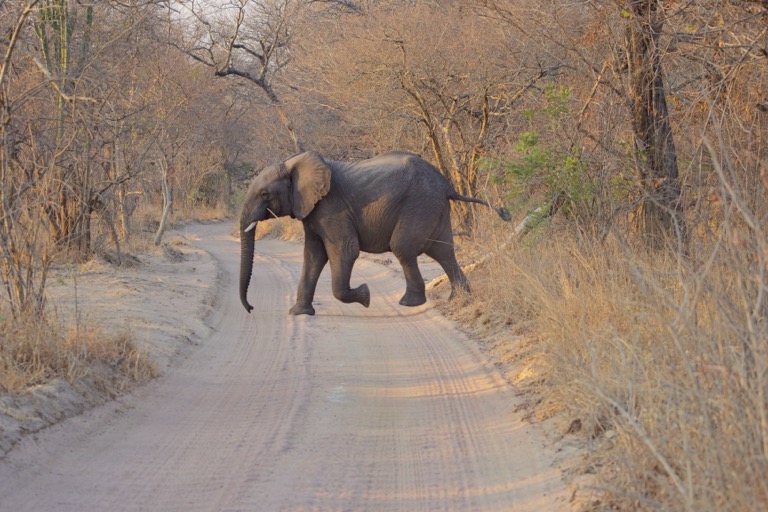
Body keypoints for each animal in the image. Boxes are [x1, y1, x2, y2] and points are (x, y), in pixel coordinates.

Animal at [239, 150, 510, 315]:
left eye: (265, 194)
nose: (251, 308)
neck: (294, 164)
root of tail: (447, 185)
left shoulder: (332, 208)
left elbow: (344, 250)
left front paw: (366, 296)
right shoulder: (312, 211)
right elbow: (314, 256)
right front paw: (299, 314)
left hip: (419, 204)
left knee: (404, 246)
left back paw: (409, 303)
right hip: (434, 207)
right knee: (443, 250)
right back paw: (458, 298)